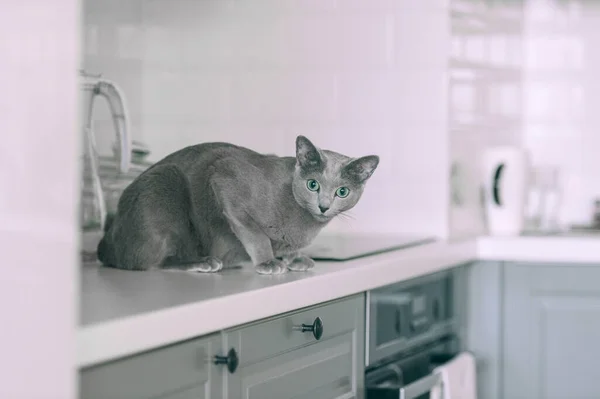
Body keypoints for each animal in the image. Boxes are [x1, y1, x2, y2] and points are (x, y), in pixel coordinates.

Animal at [98, 138, 380, 276]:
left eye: (342, 192)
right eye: (313, 185)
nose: (323, 206)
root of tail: (106, 242)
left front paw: (295, 258)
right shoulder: (224, 177)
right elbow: (256, 235)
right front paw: (268, 262)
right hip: (163, 185)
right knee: (152, 262)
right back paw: (203, 262)